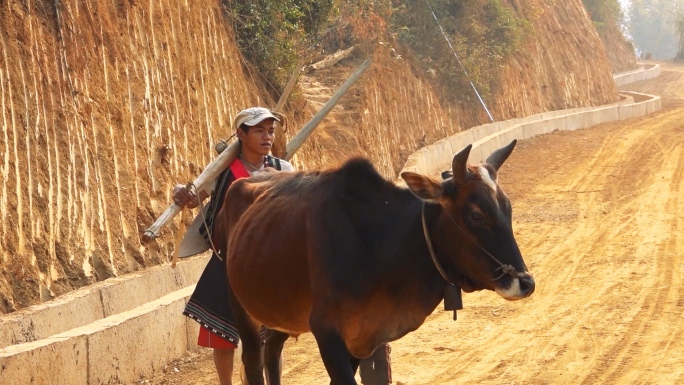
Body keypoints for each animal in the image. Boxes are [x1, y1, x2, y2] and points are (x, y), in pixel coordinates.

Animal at [219, 140, 536, 382]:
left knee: (272, 352)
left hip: (280, 313)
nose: (525, 283)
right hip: (241, 308)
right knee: (253, 361)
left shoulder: (361, 340)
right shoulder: (328, 332)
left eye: (507, 209)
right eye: (476, 215)